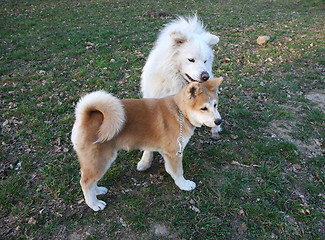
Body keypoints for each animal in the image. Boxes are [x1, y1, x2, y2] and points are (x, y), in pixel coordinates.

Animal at [71, 78, 223, 211]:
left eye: (215, 105)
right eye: (203, 108)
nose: (218, 121)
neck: (179, 112)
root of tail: (84, 116)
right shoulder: (173, 152)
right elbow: (178, 172)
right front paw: (184, 185)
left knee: (91, 181)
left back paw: (98, 191)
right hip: (100, 159)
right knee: (85, 182)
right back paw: (94, 204)